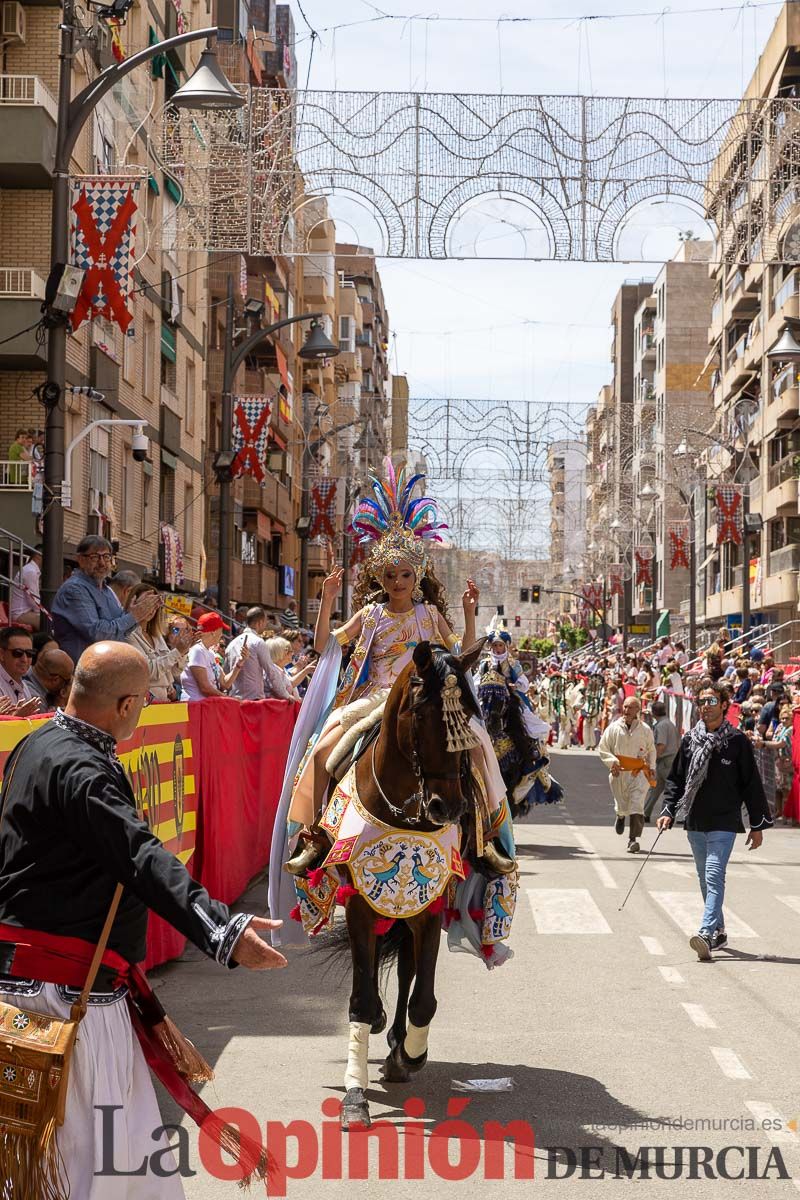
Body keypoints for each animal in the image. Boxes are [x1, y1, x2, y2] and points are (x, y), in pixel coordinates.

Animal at [321, 643, 484, 1128]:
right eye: (422, 713)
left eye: (469, 717)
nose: (450, 806)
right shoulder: (358, 901)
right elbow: (359, 995)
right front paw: (355, 1097)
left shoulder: (428, 906)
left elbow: (424, 998)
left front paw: (411, 1052)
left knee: (408, 968)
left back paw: (396, 1045)